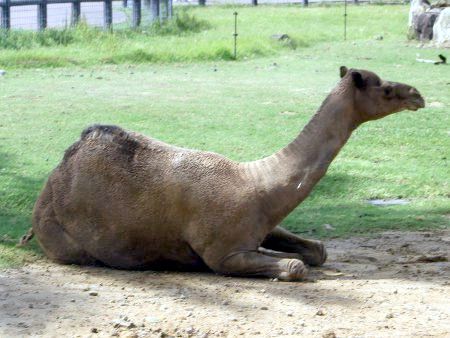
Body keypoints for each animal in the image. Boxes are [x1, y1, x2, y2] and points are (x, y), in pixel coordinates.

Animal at [24, 67, 426, 282]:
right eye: (385, 88)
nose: (417, 94)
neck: (257, 184)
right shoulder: (223, 255)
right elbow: (296, 266)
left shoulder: (262, 223)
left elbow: (318, 251)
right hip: (67, 243)